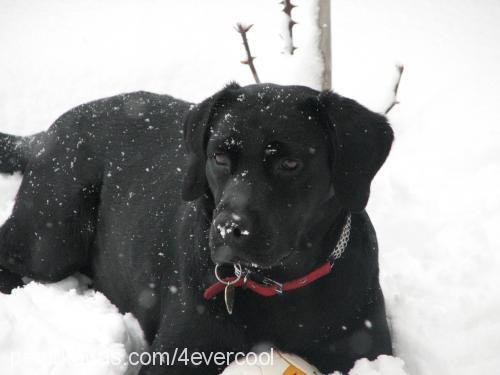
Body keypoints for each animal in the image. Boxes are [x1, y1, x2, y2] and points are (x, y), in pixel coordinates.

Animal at [0, 83, 394, 374]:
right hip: (54, 235)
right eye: (218, 157)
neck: (280, 285)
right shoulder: (178, 356)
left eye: (290, 163)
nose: (229, 229)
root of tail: (43, 135)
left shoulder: (364, 350)